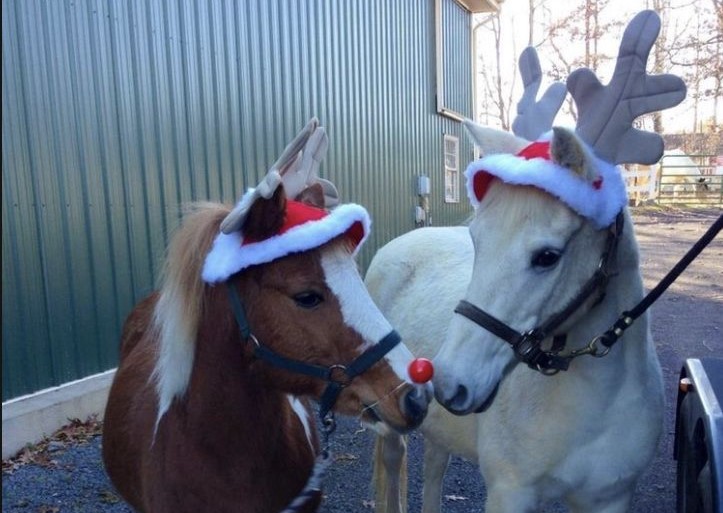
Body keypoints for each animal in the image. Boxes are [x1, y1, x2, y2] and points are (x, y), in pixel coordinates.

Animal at [368, 124, 668, 512]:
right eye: (477, 241)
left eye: (547, 256)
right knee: (394, 458)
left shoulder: (610, 498)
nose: (450, 382)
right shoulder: (510, 493)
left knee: (434, 466)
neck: (595, 404)